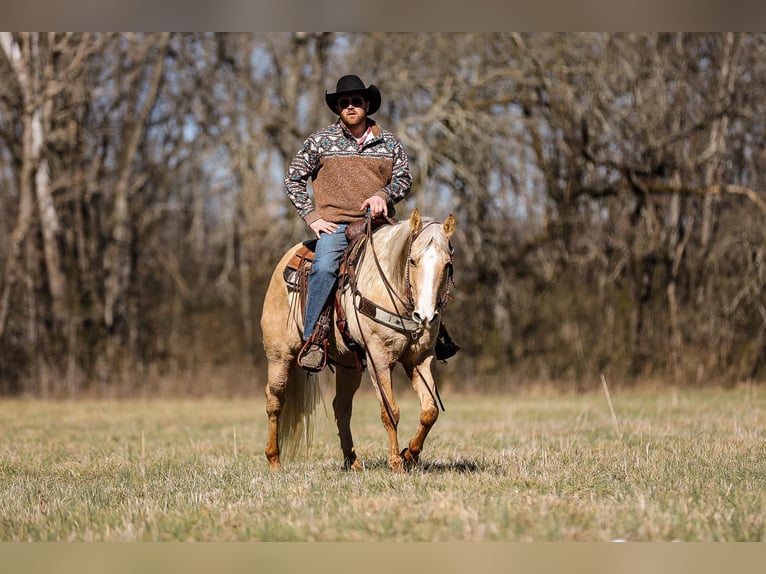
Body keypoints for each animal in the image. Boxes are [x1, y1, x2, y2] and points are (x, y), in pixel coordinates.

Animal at [260, 209, 460, 474]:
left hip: (349, 366)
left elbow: (430, 411)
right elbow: (390, 411)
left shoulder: (421, 358)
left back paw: (352, 461)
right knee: (275, 400)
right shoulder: (379, 358)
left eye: (447, 265)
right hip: (280, 356)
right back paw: (274, 461)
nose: (425, 315)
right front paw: (395, 462)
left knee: (341, 407)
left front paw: (410, 455)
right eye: (413, 261)